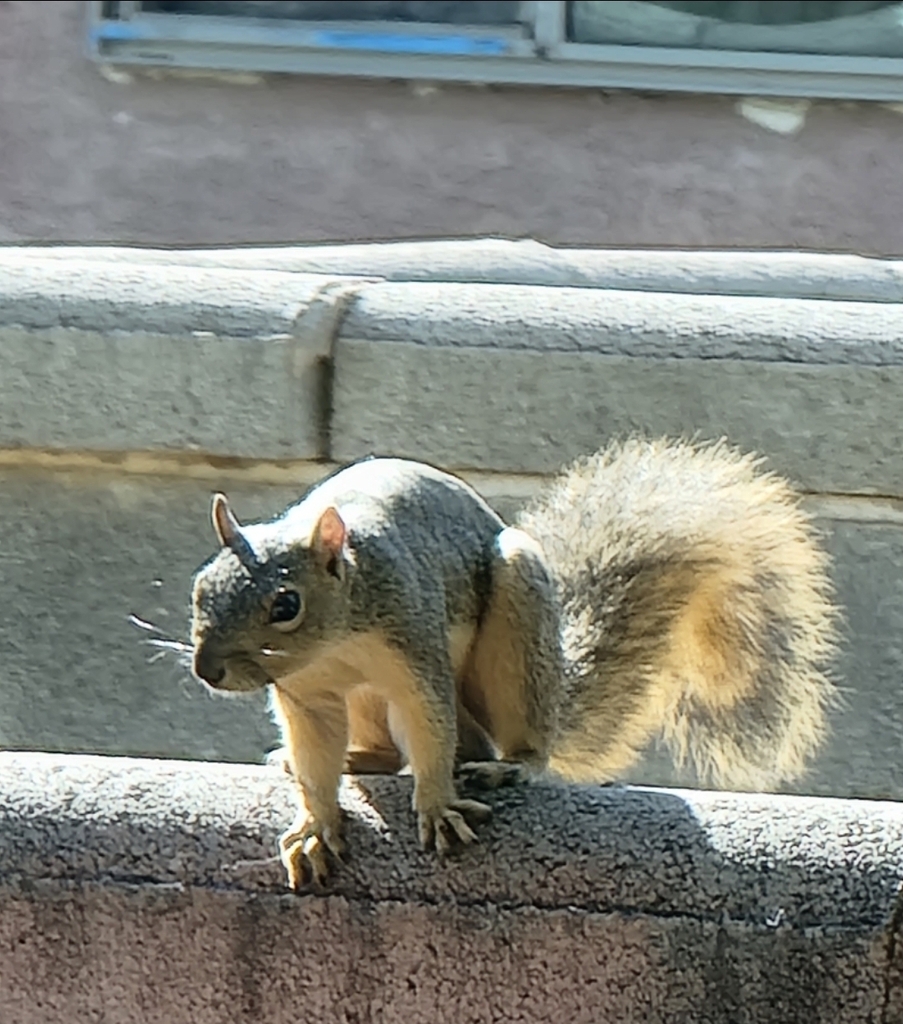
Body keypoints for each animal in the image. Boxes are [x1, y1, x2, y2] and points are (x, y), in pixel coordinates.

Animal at [188, 438, 839, 888]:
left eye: (286, 605)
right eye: (199, 588)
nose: (207, 670)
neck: (336, 639)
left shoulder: (414, 647)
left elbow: (430, 729)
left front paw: (438, 807)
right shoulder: (308, 695)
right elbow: (317, 758)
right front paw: (316, 826)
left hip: (514, 626)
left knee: (492, 741)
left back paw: (510, 766)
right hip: (368, 700)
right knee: (388, 750)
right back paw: (347, 758)